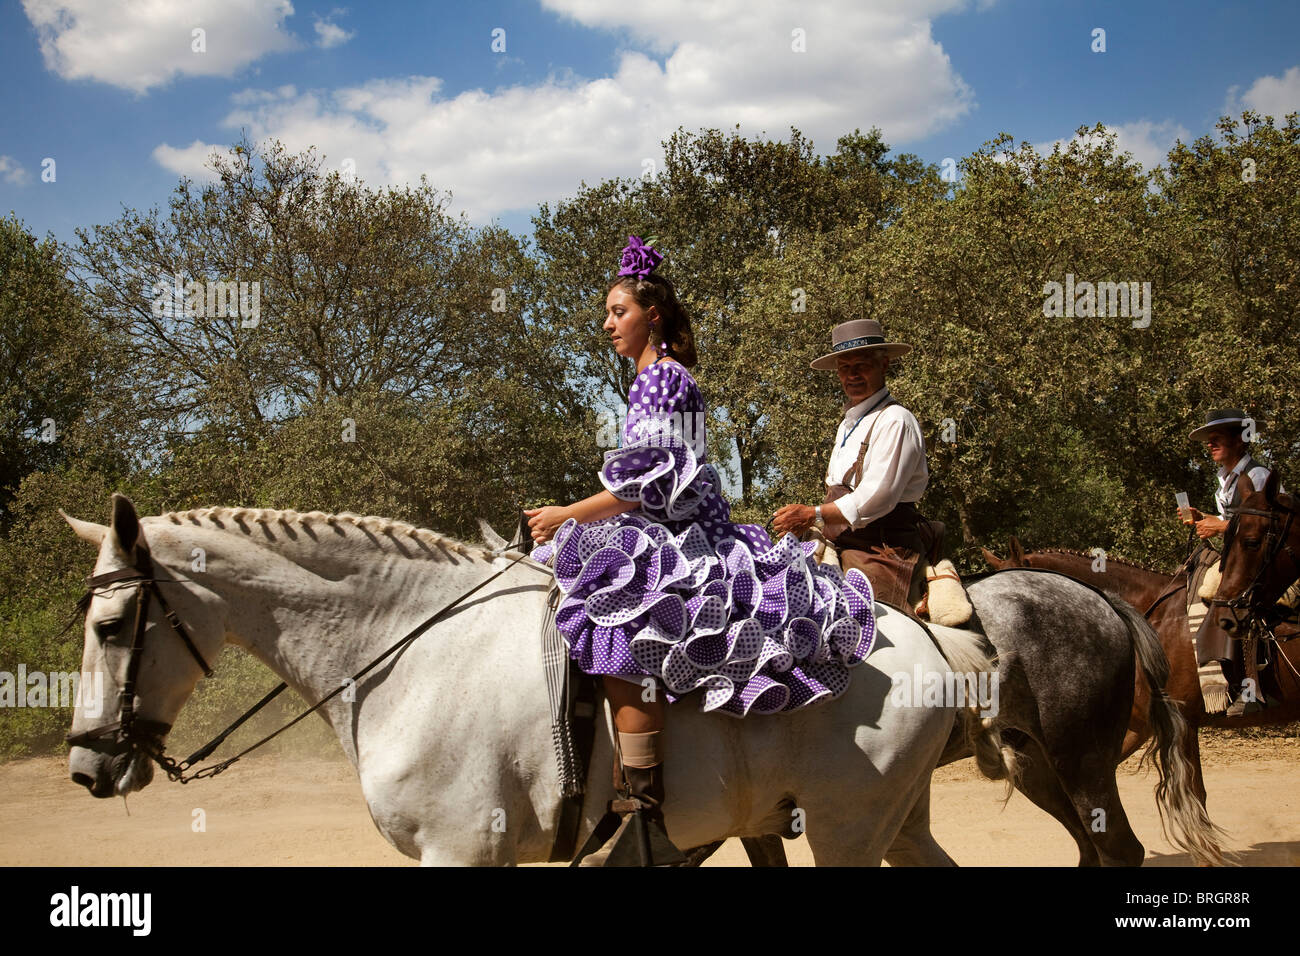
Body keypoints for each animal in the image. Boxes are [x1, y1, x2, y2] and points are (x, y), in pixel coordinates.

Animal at [63, 496, 1003, 868]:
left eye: (109, 629)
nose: (85, 767)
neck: (408, 653)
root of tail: (925, 634)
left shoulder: (459, 852)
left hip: (847, 831)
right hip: (890, 824)